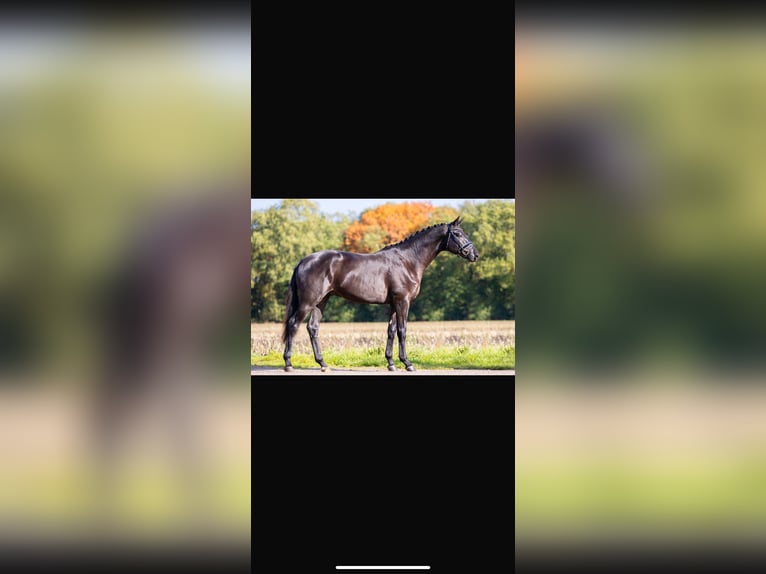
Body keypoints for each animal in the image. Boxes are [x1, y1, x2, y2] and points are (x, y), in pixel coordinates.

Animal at [282, 215, 479, 372]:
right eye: (458, 234)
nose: (474, 255)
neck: (407, 261)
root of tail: (303, 261)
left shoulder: (393, 304)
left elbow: (391, 331)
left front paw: (391, 363)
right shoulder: (403, 301)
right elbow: (402, 330)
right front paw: (407, 363)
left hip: (321, 301)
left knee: (313, 328)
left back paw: (323, 364)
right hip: (308, 302)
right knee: (293, 324)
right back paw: (288, 364)